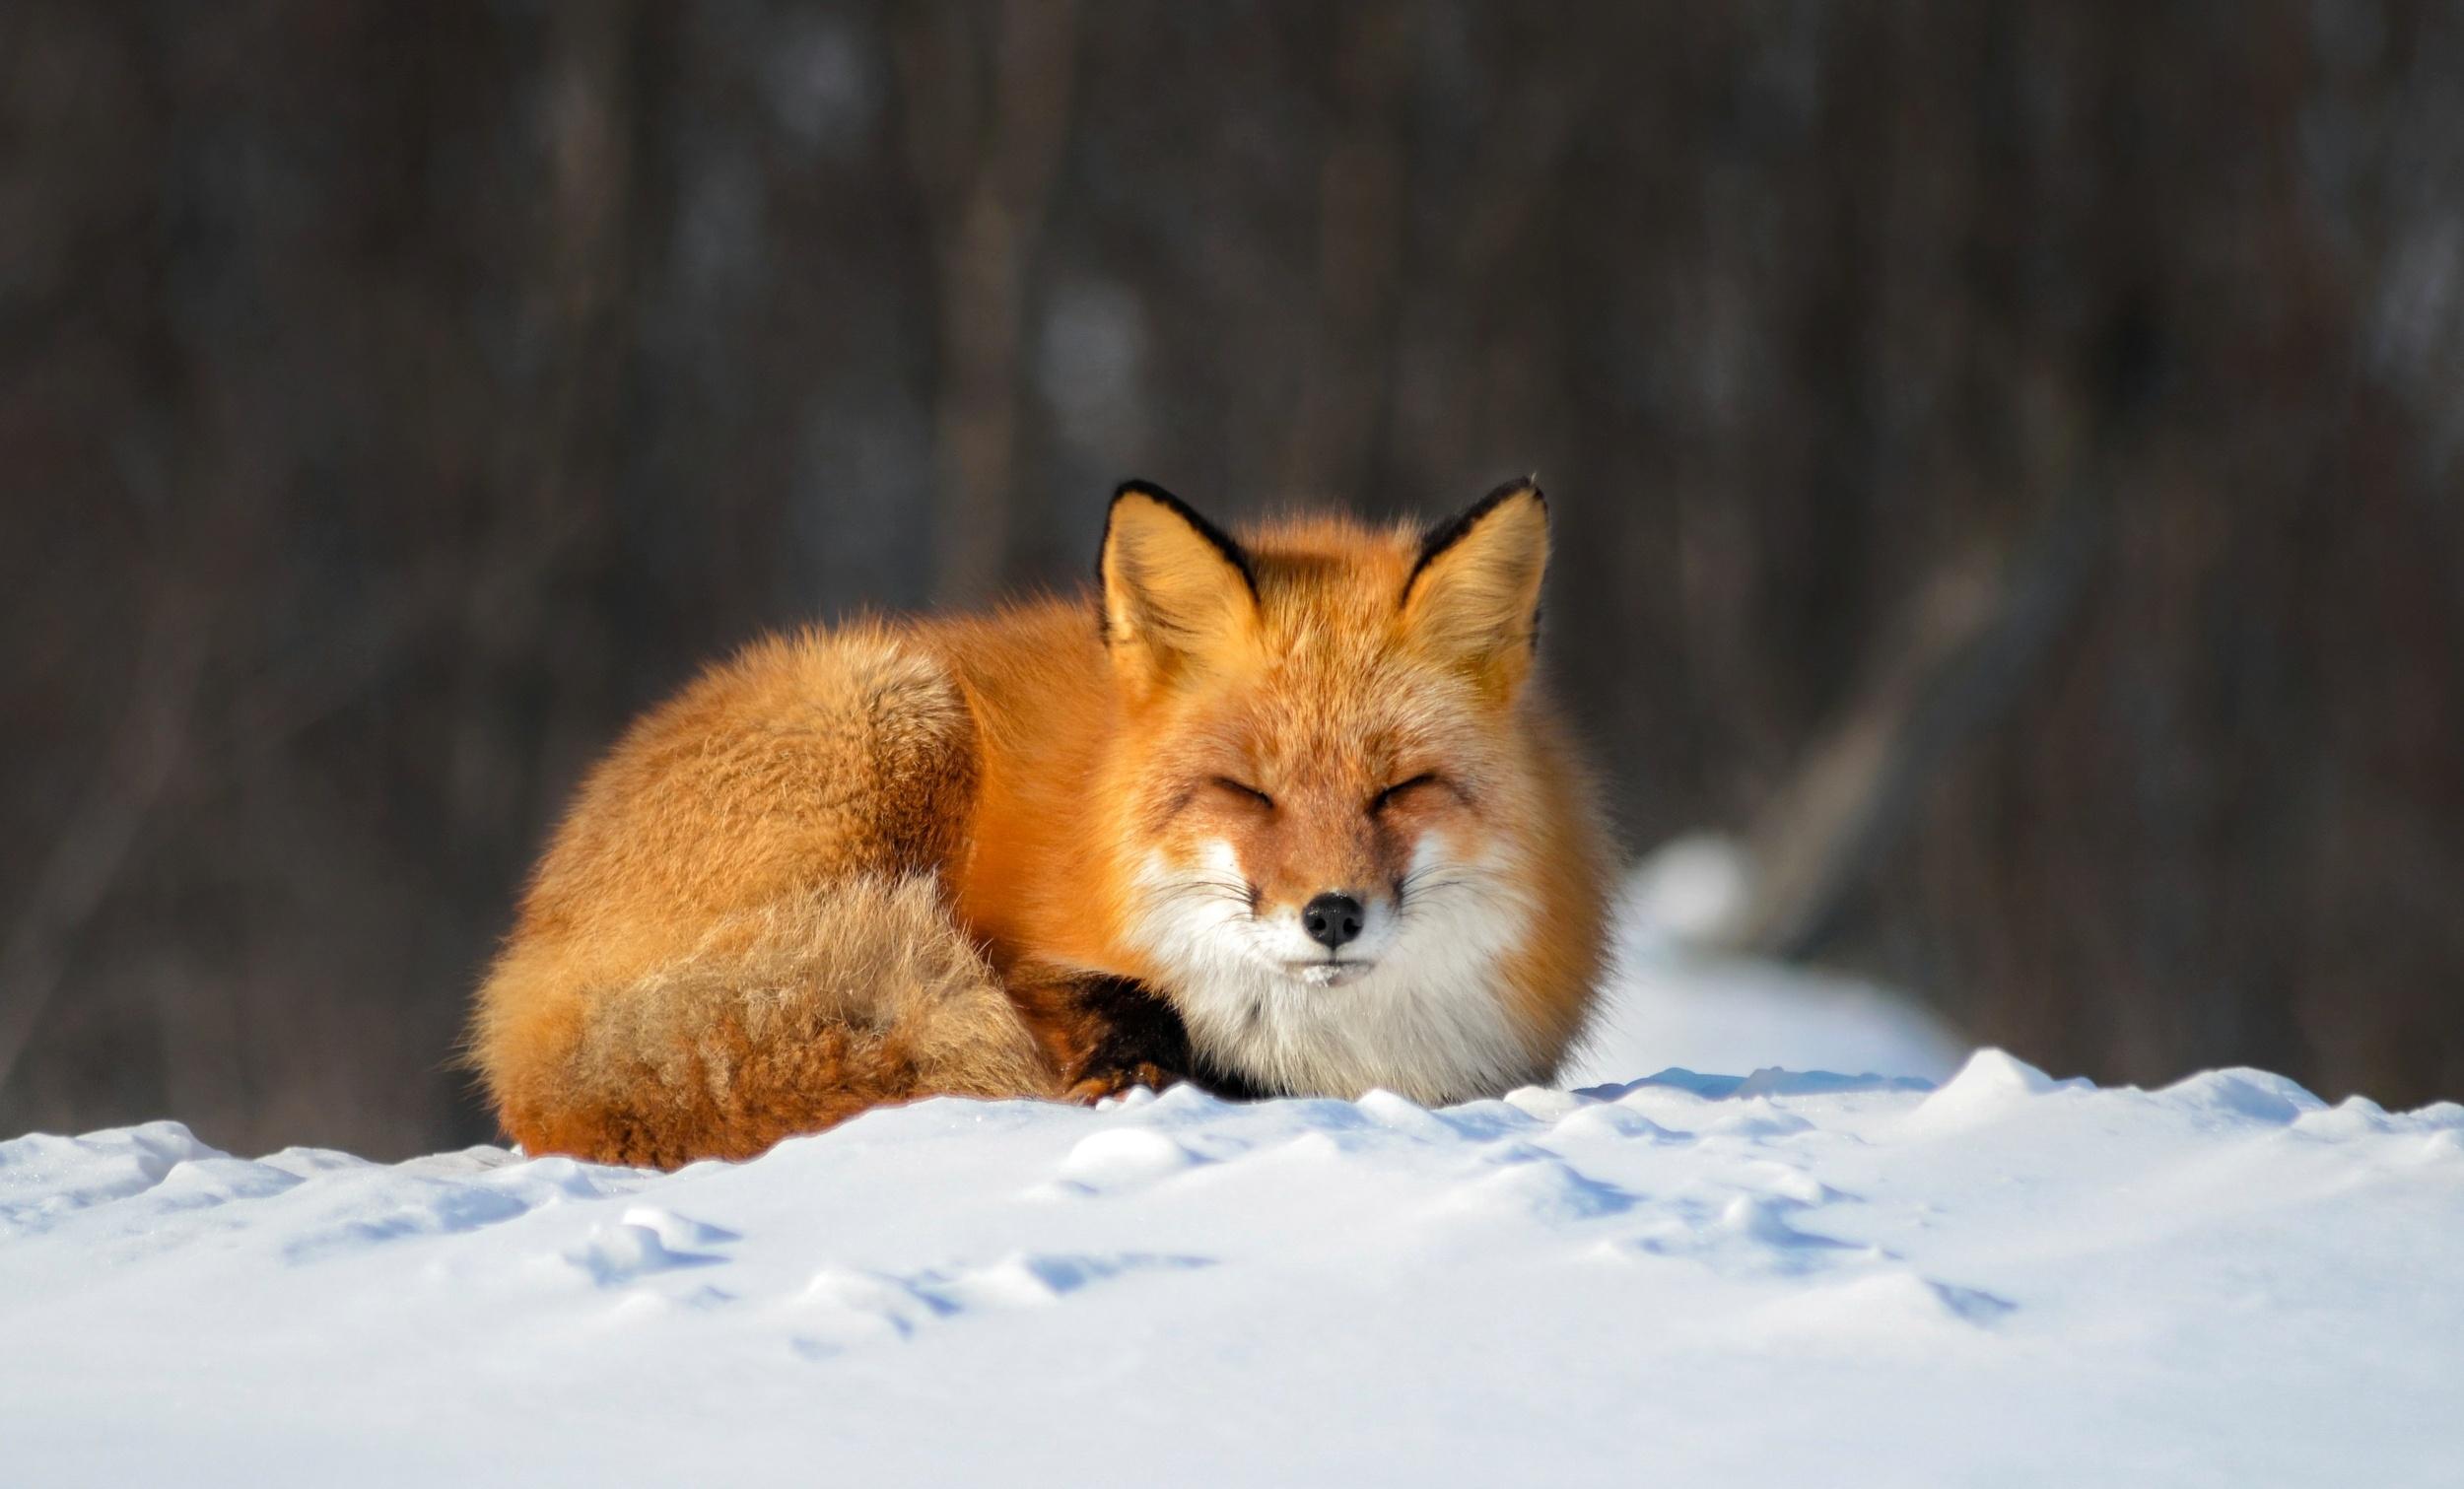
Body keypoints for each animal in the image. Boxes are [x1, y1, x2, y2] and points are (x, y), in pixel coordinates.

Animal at [469, 479, 1614, 1167]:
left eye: (1399, 788)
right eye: (1247, 791)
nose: (1331, 914)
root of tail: (525, 972)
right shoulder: (1025, 946)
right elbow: (1085, 998)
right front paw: (1128, 1063)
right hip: (897, 715)